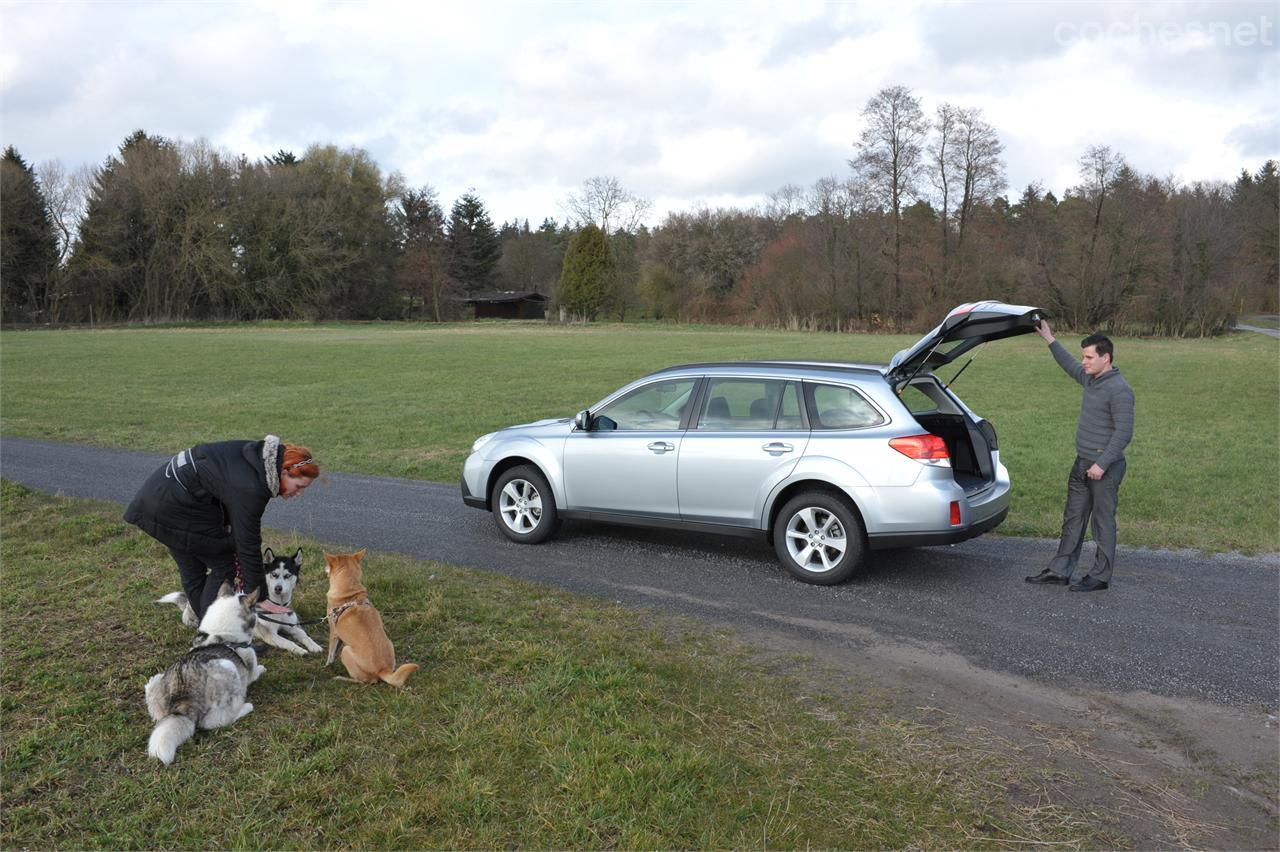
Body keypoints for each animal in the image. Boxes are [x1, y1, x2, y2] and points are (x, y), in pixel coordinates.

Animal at [322, 550, 417, 685]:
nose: (324, 568)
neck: (350, 594)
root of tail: (382, 670)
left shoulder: (333, 632)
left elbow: (330, 653)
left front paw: (327, 665)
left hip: (346, 651)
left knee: (365, 681)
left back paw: (342, 678)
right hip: (390, 644)